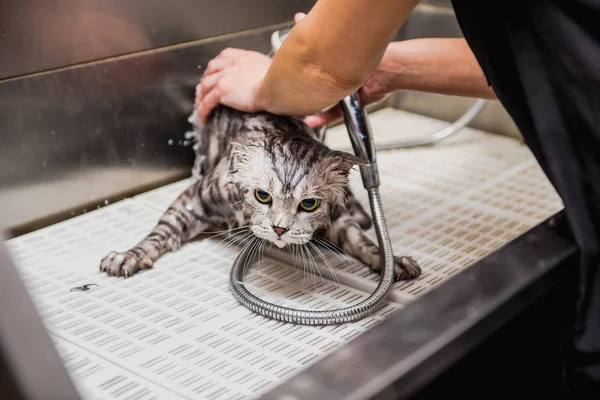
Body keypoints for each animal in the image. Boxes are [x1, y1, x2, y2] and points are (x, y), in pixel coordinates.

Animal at [98, 100, 422, 282]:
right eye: (262, 196)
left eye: (308, 204)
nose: (279, 229)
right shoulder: (194, 198)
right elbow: (160, 233)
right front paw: (129, 255)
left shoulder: (336, 217)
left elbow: (359, 239)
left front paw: (389, 260)